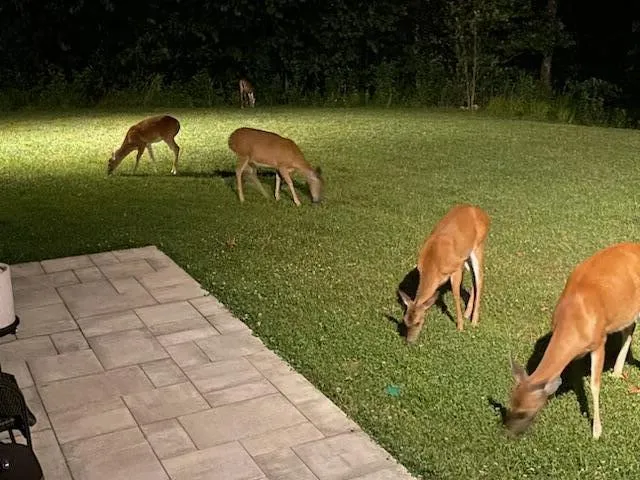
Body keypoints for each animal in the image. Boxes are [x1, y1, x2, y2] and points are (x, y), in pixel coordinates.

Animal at [398, 204, 490, 344]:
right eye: (405, 321)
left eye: (418, 322)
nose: (409, 341)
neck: (433, 264)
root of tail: (484, 214)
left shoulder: (456, 269)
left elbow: (456, 295)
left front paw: (460, 327)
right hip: (466, 256)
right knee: (474, 278)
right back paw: (467, 313)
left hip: (479, 246)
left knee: (479, 277)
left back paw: (473, 321)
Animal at [506, 242, 640, 439]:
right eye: (511, 403)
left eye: (524, 412)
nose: (508, 434)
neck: (573, 321)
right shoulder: (577, 353)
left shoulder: (599, 341)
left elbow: (594, 385)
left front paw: (596, 431)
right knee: (630, 327)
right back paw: (617, 371)